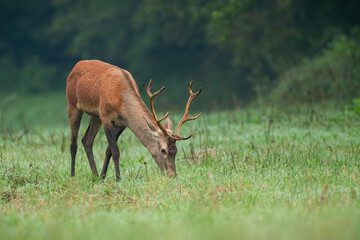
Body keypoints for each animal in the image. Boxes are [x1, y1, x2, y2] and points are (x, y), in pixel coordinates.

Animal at [66, 60, 201, 180]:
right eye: (163, 150)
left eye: (176, 151)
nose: (172, 175)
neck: (121, 100)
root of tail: (74, 67)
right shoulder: (106, 117)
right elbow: (115, 150)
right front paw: (118, 178)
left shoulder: (123, 123)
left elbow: (108, 149)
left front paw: (103, 176)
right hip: (72, 104)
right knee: (73, 144)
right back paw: (72, 175)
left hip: (95, 116)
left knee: (86, 140)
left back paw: (94, 175)